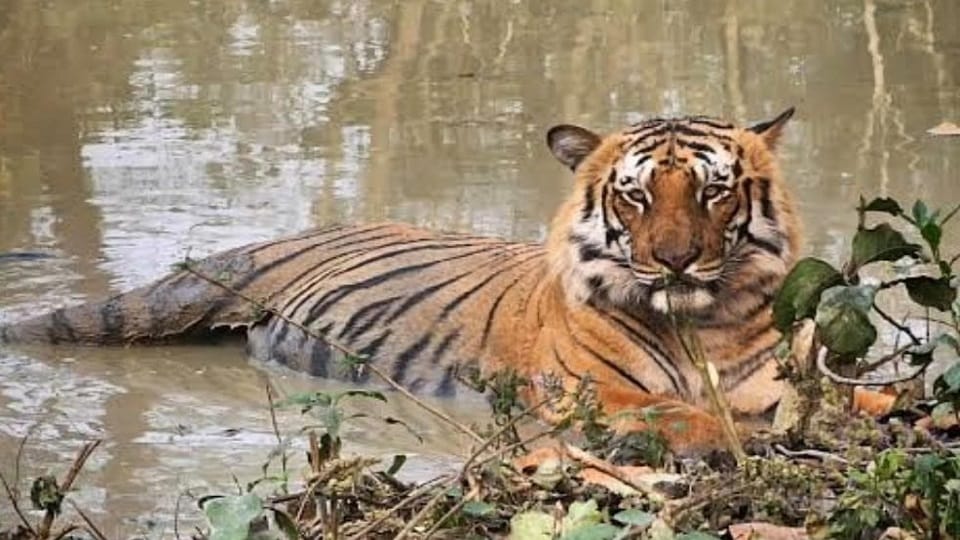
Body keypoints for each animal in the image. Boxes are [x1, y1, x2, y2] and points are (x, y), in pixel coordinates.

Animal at [0, 109, 802, 452]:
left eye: (712, 192)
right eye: (634, 196)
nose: (674, 260)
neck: (700, 322)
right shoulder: (583, 389)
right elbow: (677, 411)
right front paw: (736, 439)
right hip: (184, 292)